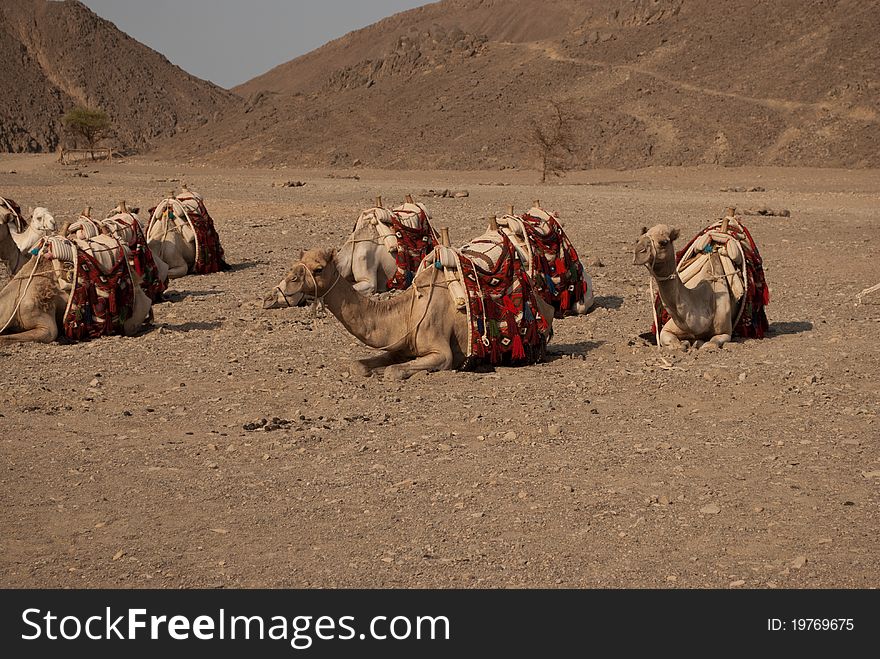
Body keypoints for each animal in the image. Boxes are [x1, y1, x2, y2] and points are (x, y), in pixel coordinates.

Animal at [262, 248, 552, 382]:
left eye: (319, 268)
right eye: (295, 265)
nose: (271, 295)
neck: (407, 312)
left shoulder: (441, 352)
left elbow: (394, 371)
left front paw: (386, 372)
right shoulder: (398, 347)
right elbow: (361, 365)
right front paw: (372, 369)